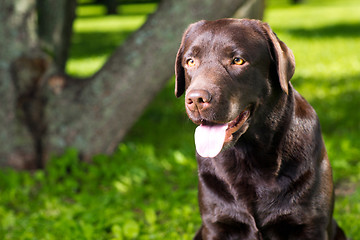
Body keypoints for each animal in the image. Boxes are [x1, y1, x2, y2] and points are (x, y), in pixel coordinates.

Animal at [174, 18, 346, 240]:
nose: (196, 99)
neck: (248, 157)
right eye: (190, 61)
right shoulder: (215, 225)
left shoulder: (311, 225)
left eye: (238, 60)